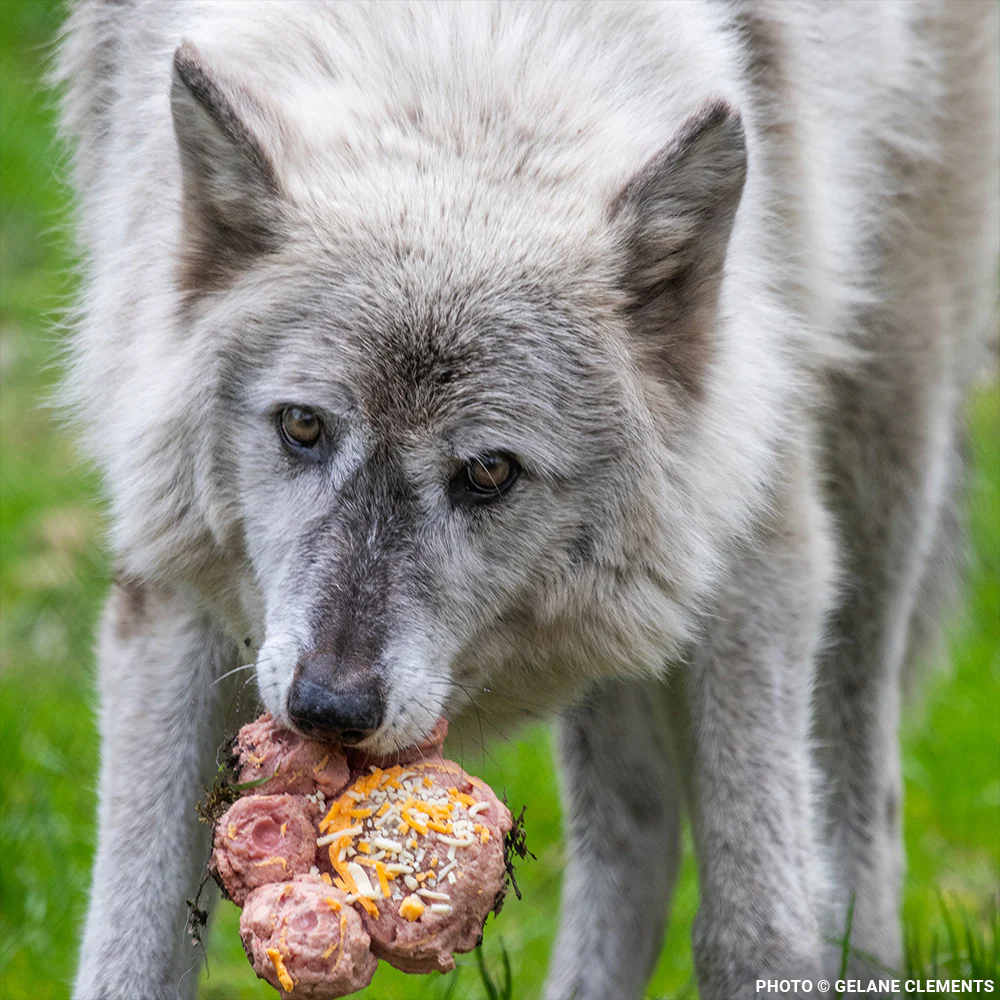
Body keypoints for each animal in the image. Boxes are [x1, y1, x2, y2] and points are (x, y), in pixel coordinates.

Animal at [55, 1, 997, 998]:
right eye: (303, 426)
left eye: (490, 472)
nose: (329, 710)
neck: (455, 58)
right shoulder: (172, 582)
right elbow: (131, 944)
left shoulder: (755, 545)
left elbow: (756, 931)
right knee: (637, 822)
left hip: (883, 437)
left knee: (867, 800)